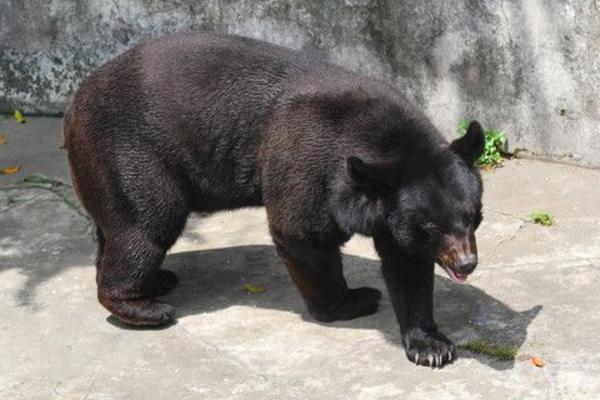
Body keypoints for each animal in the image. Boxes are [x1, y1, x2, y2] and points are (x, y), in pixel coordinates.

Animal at [65, 32, 486, 368]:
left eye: (475, 217)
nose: (466, 263)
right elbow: (304, 235)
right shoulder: (310, 164)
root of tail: (75, 100)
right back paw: (143, 306)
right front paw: (353, 301)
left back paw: (157, 281)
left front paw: (431, 346)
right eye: (431, 227)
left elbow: (407, 265)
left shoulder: (391, 208)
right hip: (130, 153)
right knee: (147, 224)